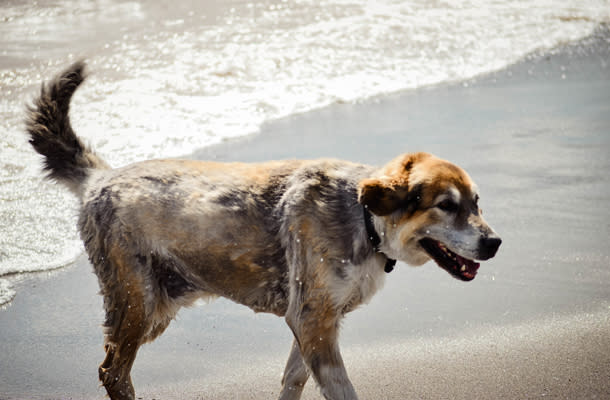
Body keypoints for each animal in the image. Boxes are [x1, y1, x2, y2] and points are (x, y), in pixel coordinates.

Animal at [25, 61, 498, 398]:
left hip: (153, 304)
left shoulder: (314, 322)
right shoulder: (313, 321)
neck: (362, 217)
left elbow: (293, 379)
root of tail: (100, 178)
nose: (494, 242)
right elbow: (341, 389)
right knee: (112, 372)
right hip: (138, 302)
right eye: (445, 206)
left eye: (477, 202)